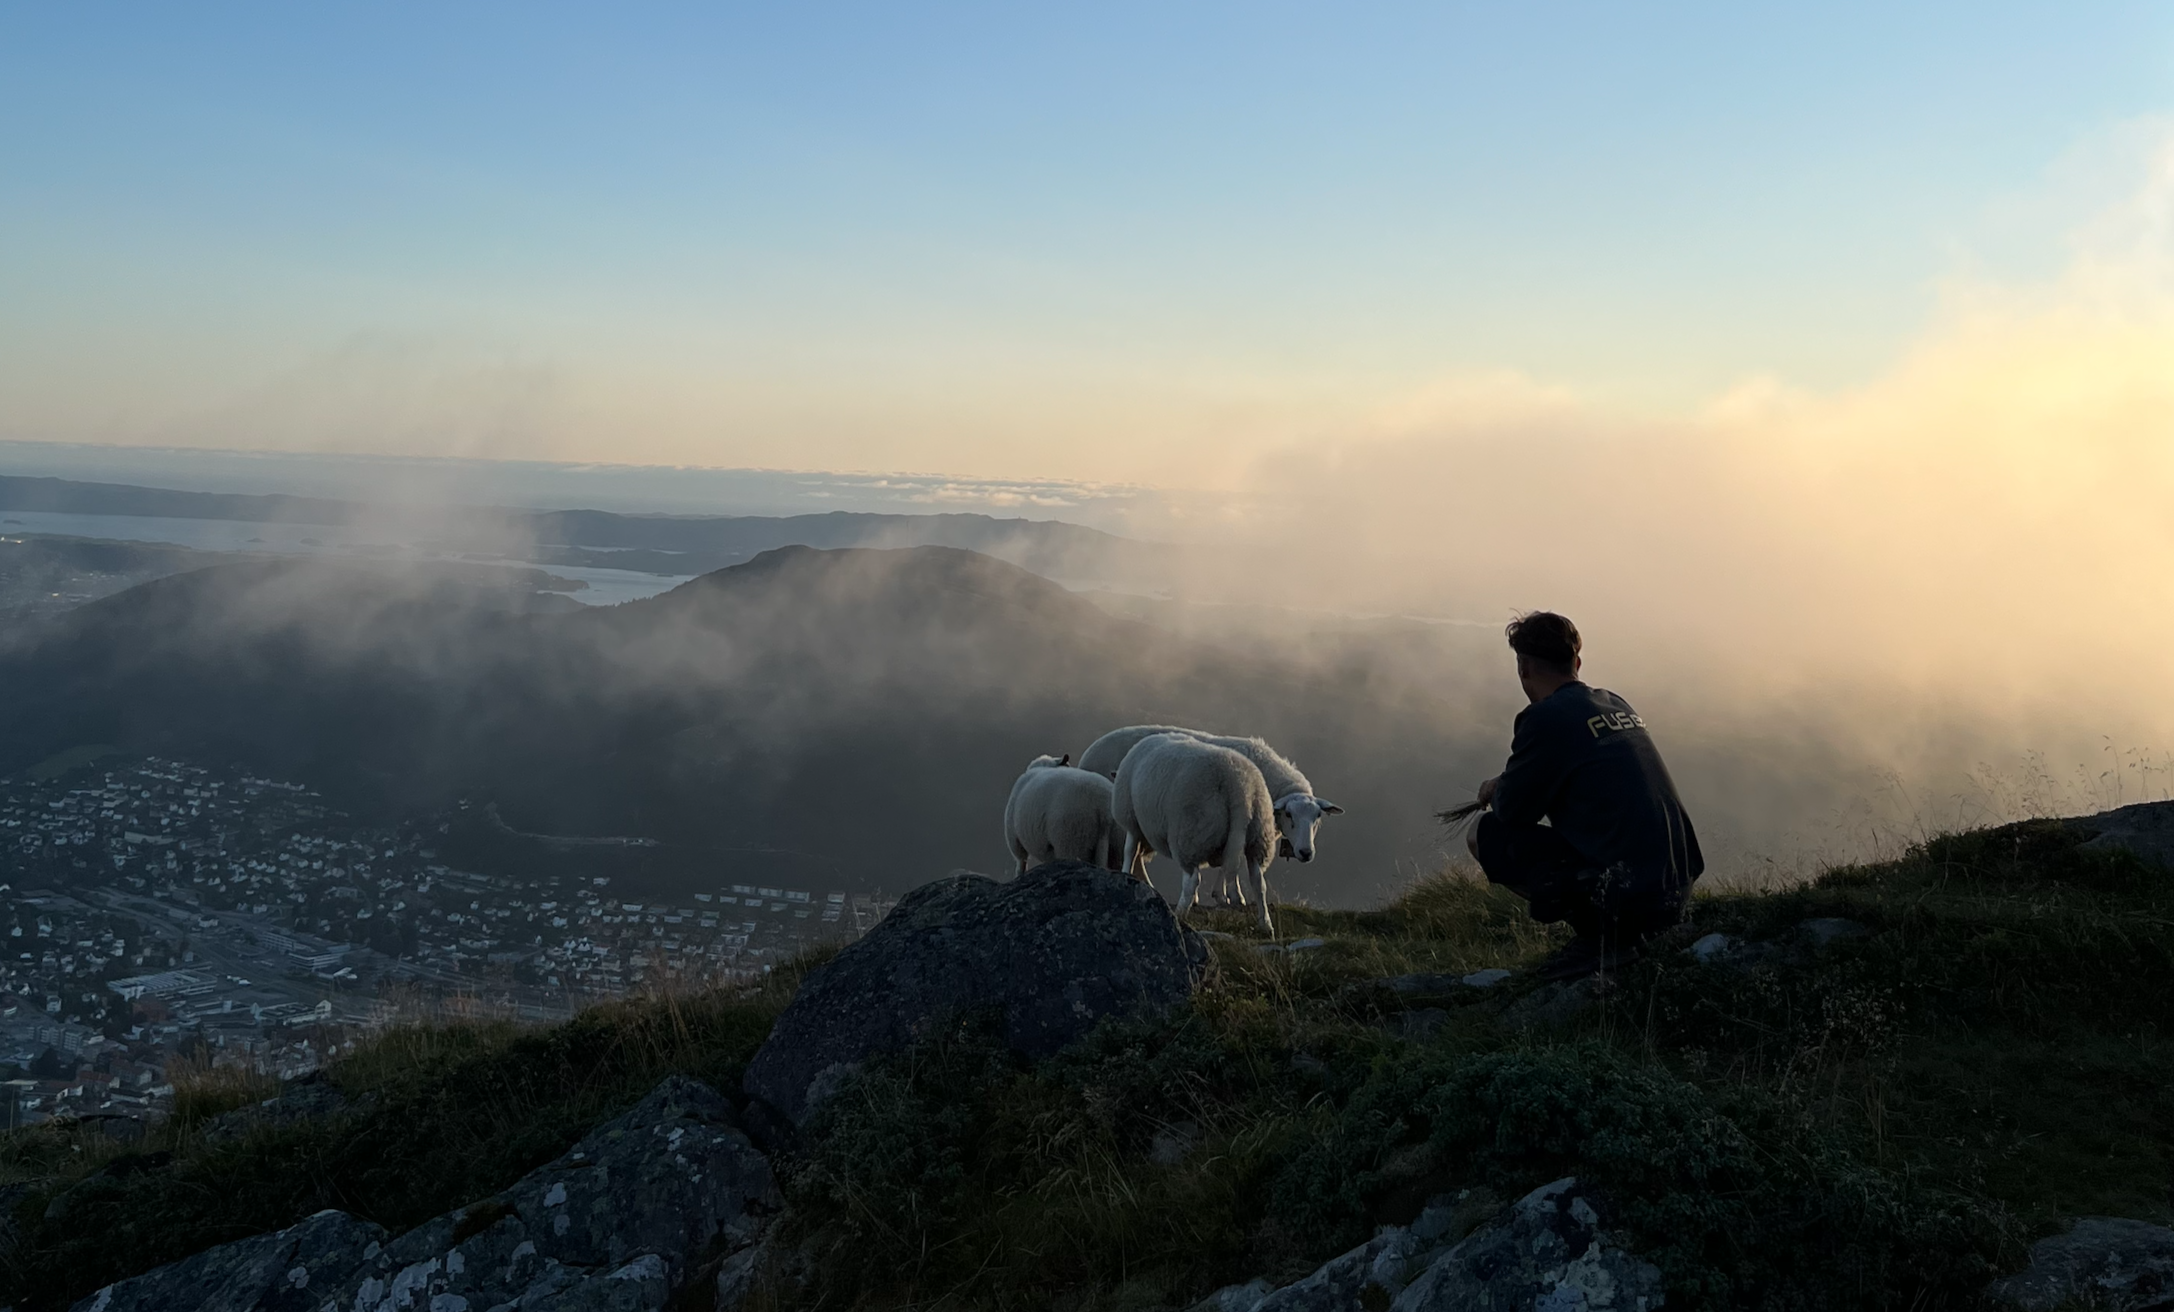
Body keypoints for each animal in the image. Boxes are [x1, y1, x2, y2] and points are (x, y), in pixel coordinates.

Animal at [1121, 735, 1269, 939]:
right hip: (1257, 836)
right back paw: (1266, 925)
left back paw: (1180, 914)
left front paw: (1124, 873)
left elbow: (1129, 850)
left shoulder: (1132, 819)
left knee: (1192, 879)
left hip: (1189, 832)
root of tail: (1239, 786)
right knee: (1258, 881)